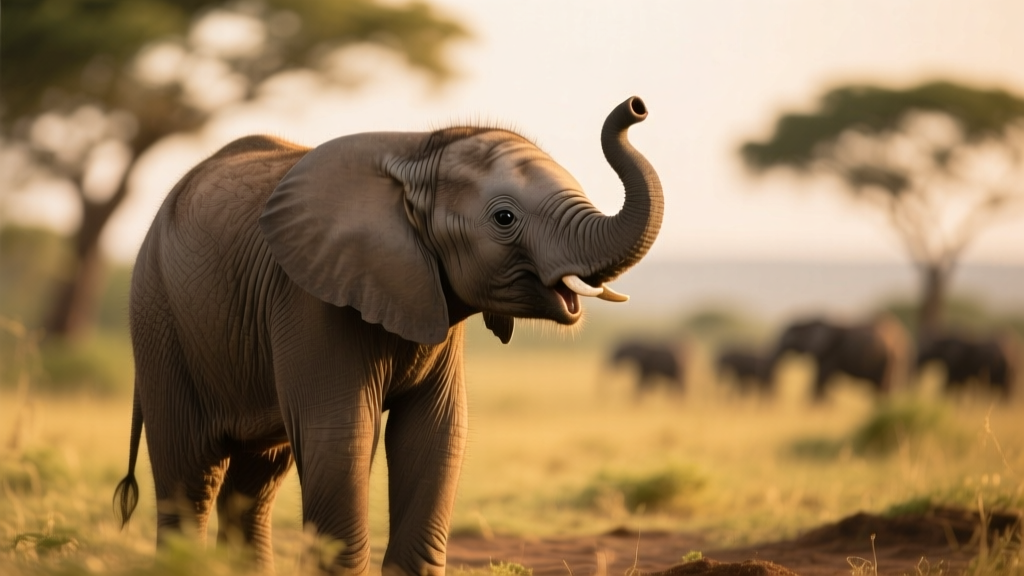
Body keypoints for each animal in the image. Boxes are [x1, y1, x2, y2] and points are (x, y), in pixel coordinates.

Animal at [112, 96, 663, 575]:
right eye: (504, 218)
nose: (636, 106)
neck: (416, 153)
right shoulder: (310, 298)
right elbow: (341, 436)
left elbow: (435, 433)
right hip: (159, 319)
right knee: (191, 478)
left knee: (254, 484)